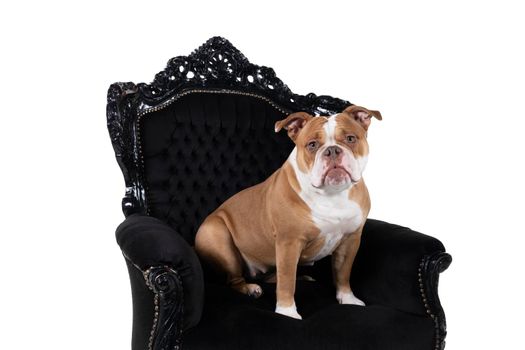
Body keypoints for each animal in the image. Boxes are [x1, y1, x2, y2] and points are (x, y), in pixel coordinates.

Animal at [193, 104, 380, 320]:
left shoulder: (351, 240)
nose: (332, 150)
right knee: (235, 279)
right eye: (312, 145)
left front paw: (348, 299)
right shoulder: (288, 243)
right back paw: (250, 289)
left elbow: (343, 272)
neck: (333, 194)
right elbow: (286, 282)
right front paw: (287, 312)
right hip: (219, 236)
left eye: (350, 138)